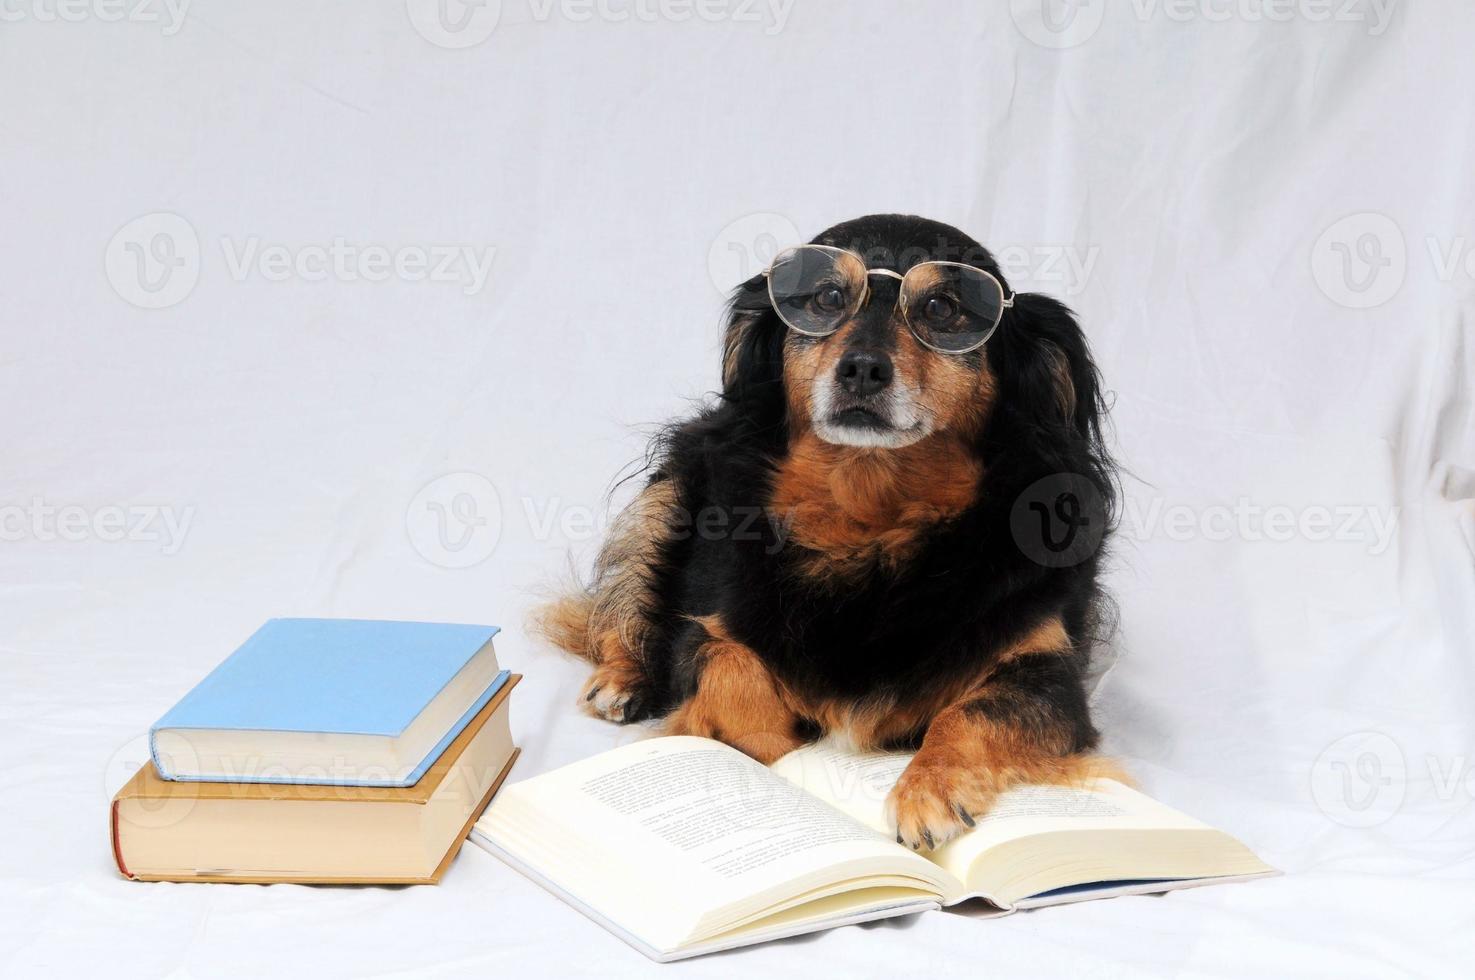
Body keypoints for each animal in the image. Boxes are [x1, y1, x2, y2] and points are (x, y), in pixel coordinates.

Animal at [542, 214, 1115, 850]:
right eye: (826, 299)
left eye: (942, 309)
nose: (862, 367)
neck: (868, 521)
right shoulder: (707, 623)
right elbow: (728, 667)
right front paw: (770, 754)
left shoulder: (1049, 670)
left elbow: (976, 710)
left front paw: (927, 789)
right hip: (668, 497)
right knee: (633, 598)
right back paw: (622, 679)